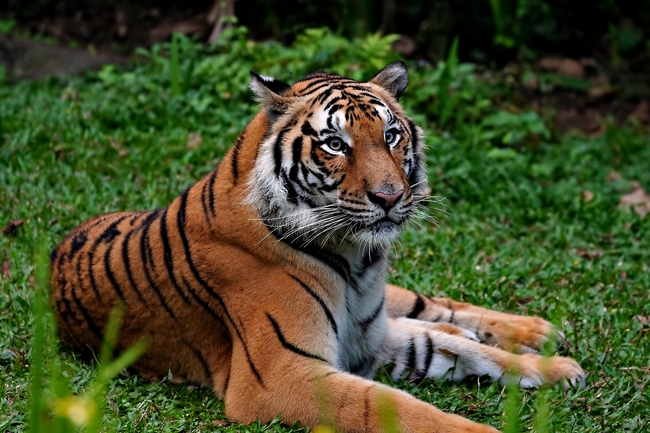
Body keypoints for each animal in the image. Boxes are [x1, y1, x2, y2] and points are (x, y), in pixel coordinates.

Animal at [52, 61, 584, 432]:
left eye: (391, 135)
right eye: (335, 144)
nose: (391, 197)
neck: (356, 261)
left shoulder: (368, 336)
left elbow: (461, 349)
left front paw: (556, 369)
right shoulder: (280, 373)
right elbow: (393, 402)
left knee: (437, 309)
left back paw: (538, 332)